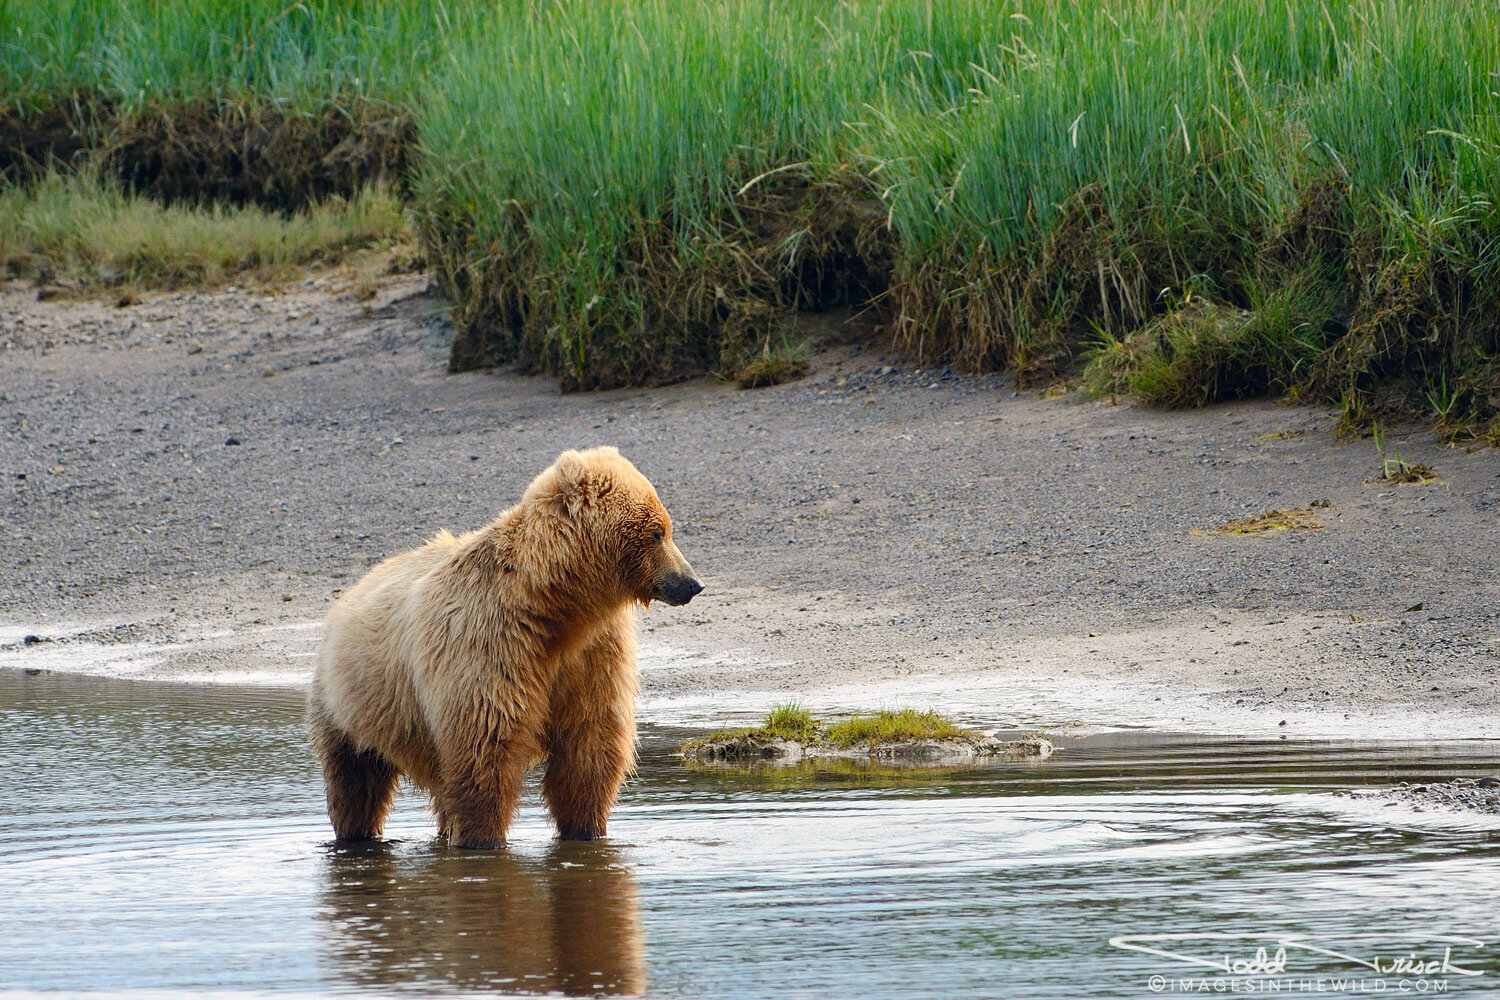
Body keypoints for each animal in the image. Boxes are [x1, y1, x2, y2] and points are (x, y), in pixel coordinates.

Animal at [309, 449, 702, 851]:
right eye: (658, 532)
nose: (691, 582)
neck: (557, 608)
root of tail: (355, 586)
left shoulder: (592, 653)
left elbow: (589, 743)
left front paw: (586, 830)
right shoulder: (491, 640)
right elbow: (488, 745)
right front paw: (484, 839)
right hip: (350, 706)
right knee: (355, 782)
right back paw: (357, 834)